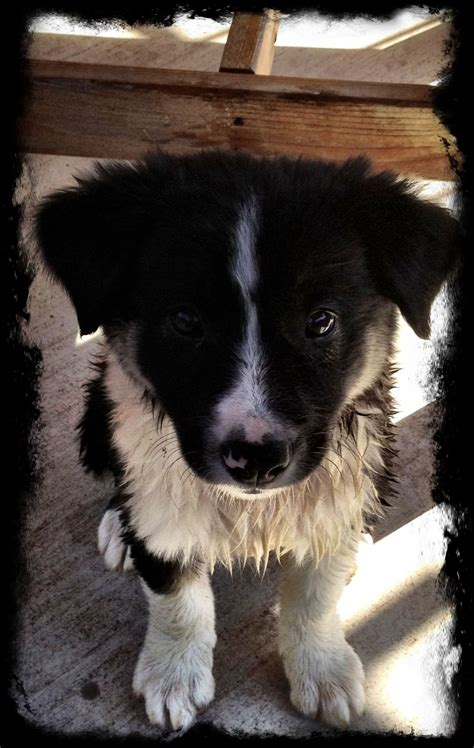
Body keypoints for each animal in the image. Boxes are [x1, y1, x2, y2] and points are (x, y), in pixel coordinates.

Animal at [36, 150, 460, 732]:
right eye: (184, 320)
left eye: (321, 322)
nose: (256, 459)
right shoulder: (160, 494)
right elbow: (177, 595)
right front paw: (173, 675)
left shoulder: (347, 475)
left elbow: (314, 596)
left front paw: (323, 669)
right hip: (99, 416)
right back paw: (119, 529)